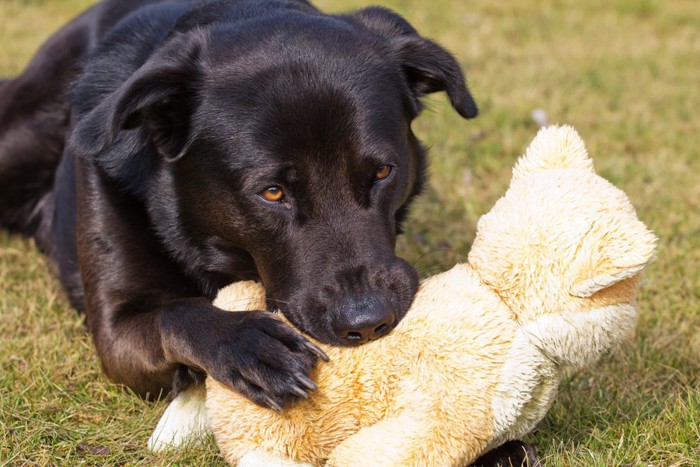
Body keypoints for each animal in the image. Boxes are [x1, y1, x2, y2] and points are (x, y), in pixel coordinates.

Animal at [0, 0, 476, 410]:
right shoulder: (118, 330)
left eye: (382, 172)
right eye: (272, 192)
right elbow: (178, 312)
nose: (367, 321)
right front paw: (249, 343)